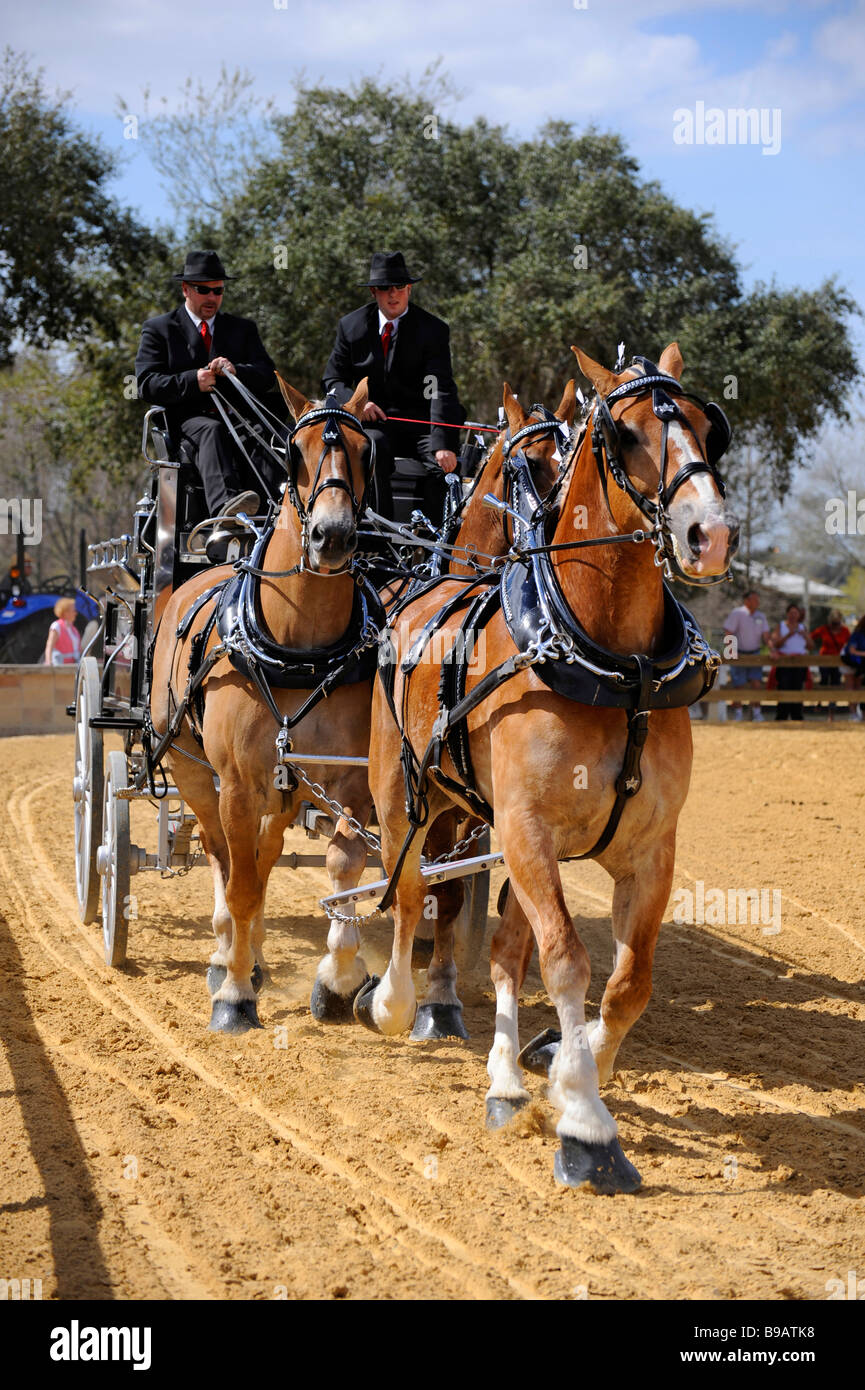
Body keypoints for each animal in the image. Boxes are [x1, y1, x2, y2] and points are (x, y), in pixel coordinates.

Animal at [150, 377, 382, 1033]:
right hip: (190, 768)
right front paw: (233, 993)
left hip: (284, 792)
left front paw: (337, 980)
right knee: (223, 856)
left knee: (264, 853)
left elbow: (343, 873)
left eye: (366, 450)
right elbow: (242, 884)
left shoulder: (348, 784)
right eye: (293, 453)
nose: (333, 536)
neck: (298, 645)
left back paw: (250, 953)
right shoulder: (234, 782)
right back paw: (228, 954)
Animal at [356, 343, 739, 1192]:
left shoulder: (646, 848)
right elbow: (566, 963)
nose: (709, 535)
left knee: (499, 948)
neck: (616, 664)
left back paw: (503, 1081)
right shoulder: (527, 830)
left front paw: (562, 1063)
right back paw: (392, 1002)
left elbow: (627, 982)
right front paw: (587, 1127)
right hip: (404, 794)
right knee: (406, 895)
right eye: (624, 434)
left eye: (708, 428)